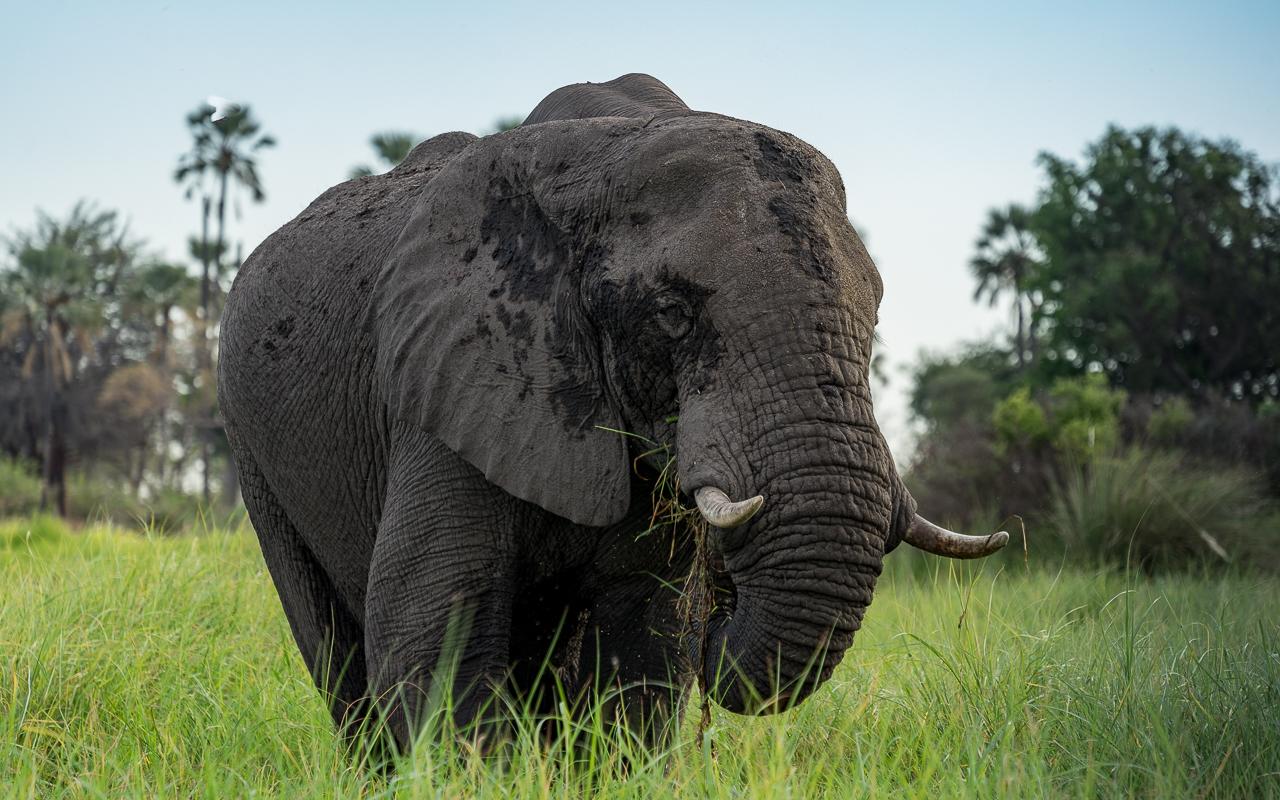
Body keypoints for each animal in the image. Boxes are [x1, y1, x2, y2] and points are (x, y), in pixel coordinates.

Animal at [218, 73, 1007, 752]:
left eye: (874, 314)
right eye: (672, 314)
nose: (724, 602)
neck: (599, 155)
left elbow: (645, 642)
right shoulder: (454, 381)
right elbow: (433, 627)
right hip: (251, 446)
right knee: (336, 653)